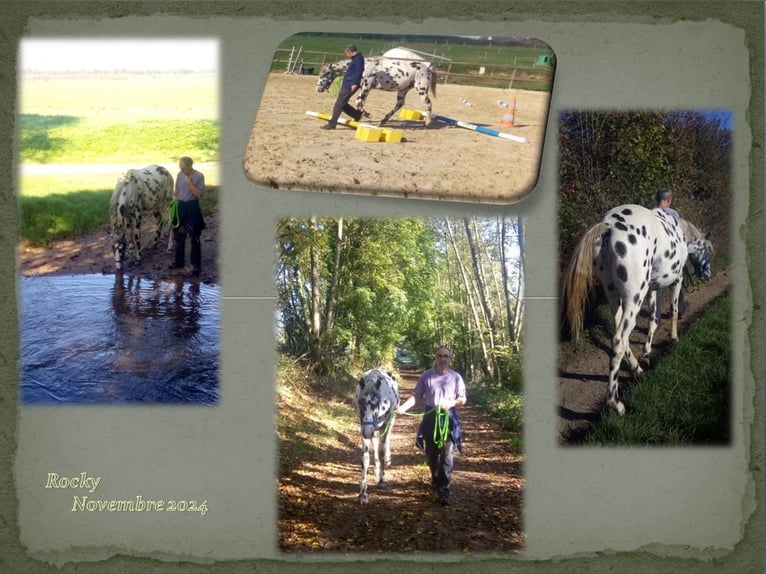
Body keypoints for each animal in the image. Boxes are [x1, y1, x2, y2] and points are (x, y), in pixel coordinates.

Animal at [354, 368, 402, 504]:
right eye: (361, 402)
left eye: (377, 403)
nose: (368, 432)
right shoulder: (363, 427)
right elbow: (365, 459)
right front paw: (363, 493)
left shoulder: (384, 425)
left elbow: (381, 451)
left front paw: (382, 481)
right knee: (375, 443)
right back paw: (376, 468)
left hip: (390, 420)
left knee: (385, 441)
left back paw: (387, 459)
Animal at [560, 205, 716, 416]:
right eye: (708, 250)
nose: (707, 275)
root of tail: (608, 225)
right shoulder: (675, 282)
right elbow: (673, 310)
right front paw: (674, 338)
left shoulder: (653, 288)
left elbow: (654, 319)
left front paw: (646, 354)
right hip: (634, 297)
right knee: (619, 340)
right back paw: (616, 403)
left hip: (615, 296)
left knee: (621, 335)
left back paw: (637, 370)